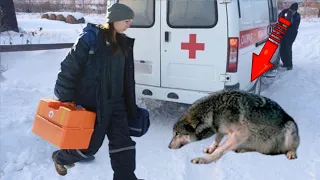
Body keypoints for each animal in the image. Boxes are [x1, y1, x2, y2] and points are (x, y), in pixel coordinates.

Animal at [169, 90, 298, 165]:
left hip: (290, 127)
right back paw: (241, 150)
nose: (168, 147)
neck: (214, 111)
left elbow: (220, 149)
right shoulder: (222, 130)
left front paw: (204, 160)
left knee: (292, 148)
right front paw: (210, 149)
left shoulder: (239, 134)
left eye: (176, 134)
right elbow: (217, 140)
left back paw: (291, 153)